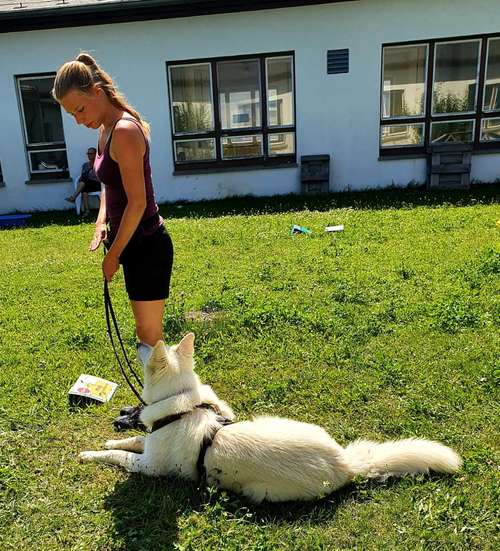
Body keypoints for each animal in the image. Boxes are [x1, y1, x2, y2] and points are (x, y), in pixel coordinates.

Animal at [79, 334, 460, 502]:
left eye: (150, 349)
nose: (138, 340)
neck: (181, 405)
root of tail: (345, 463)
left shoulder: (149, 467)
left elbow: (120, 456)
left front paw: (91, 453)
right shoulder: (148, 442)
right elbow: (132, 439)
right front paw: (112, 435)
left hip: (261, 491)